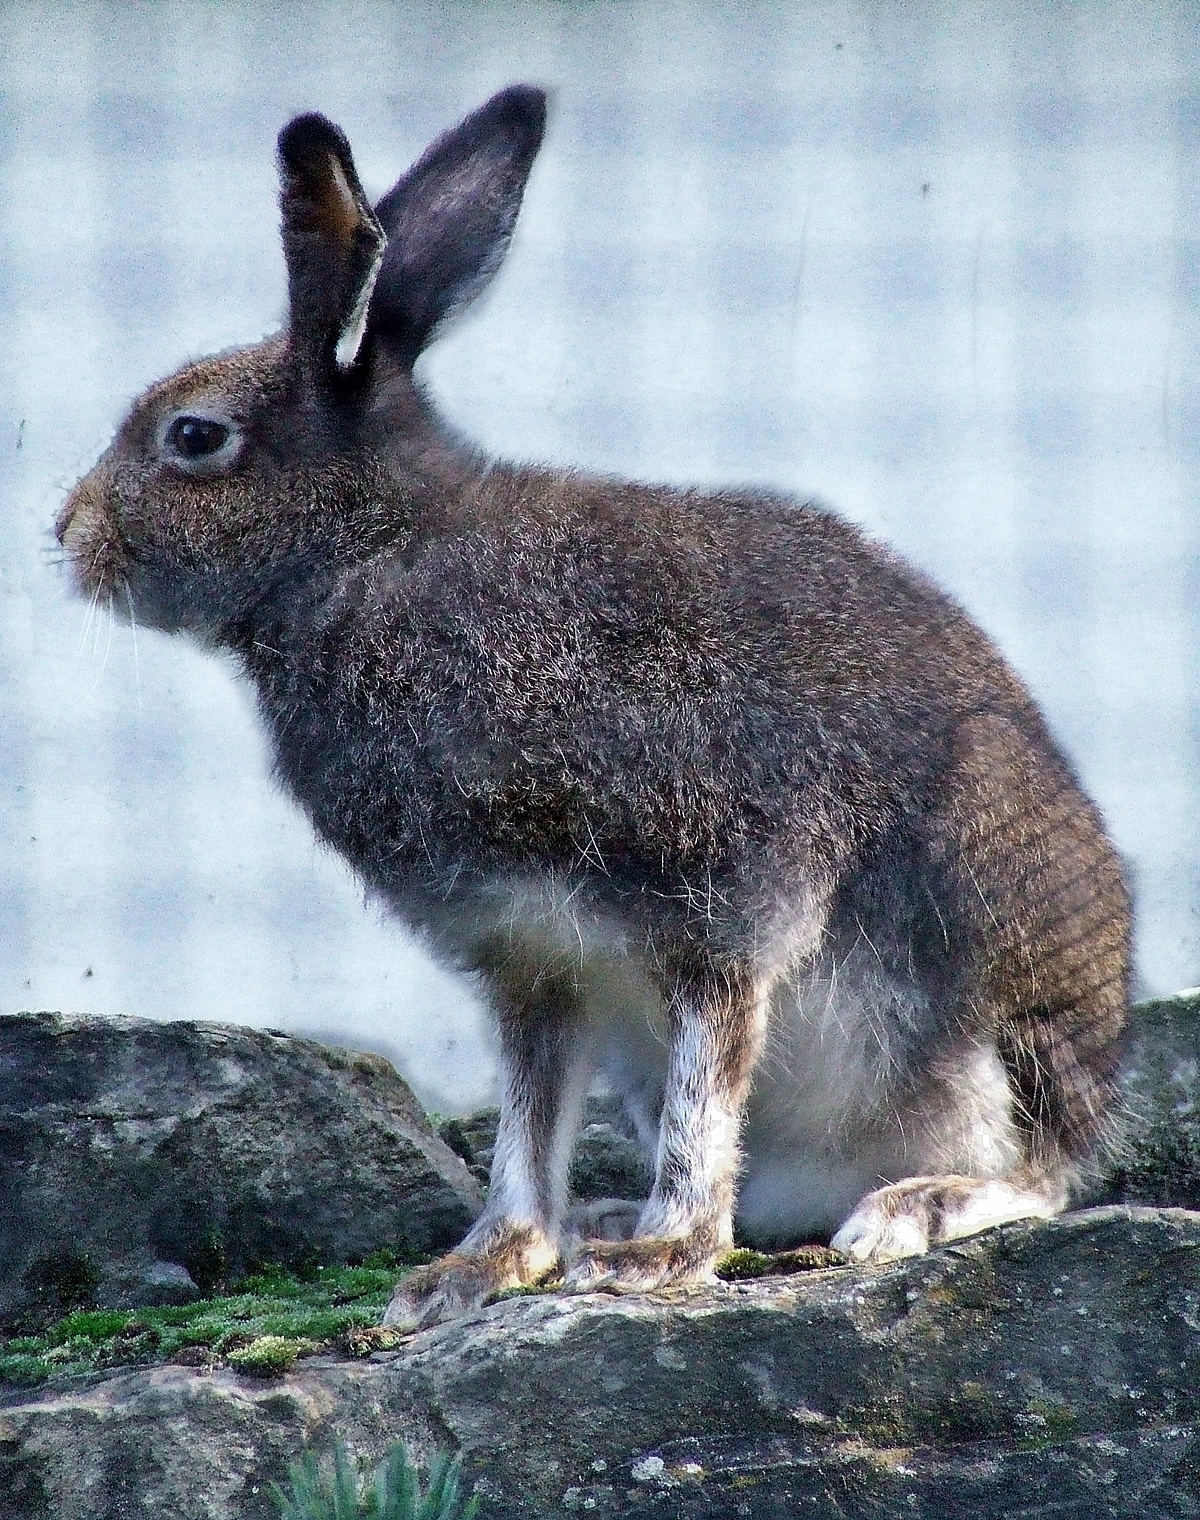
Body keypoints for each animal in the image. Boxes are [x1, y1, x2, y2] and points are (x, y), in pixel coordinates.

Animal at [56, 84, 1131, 1329]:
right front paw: (481, 1266)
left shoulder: (727, 897)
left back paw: (910, 1206)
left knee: (1045, 1169)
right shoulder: (531, 957)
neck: (372, 552)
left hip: (991, 942)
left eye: (193, 437)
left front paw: (661, 1254)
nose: (68, 536)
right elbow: (529, 1119)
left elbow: (708, 1083)